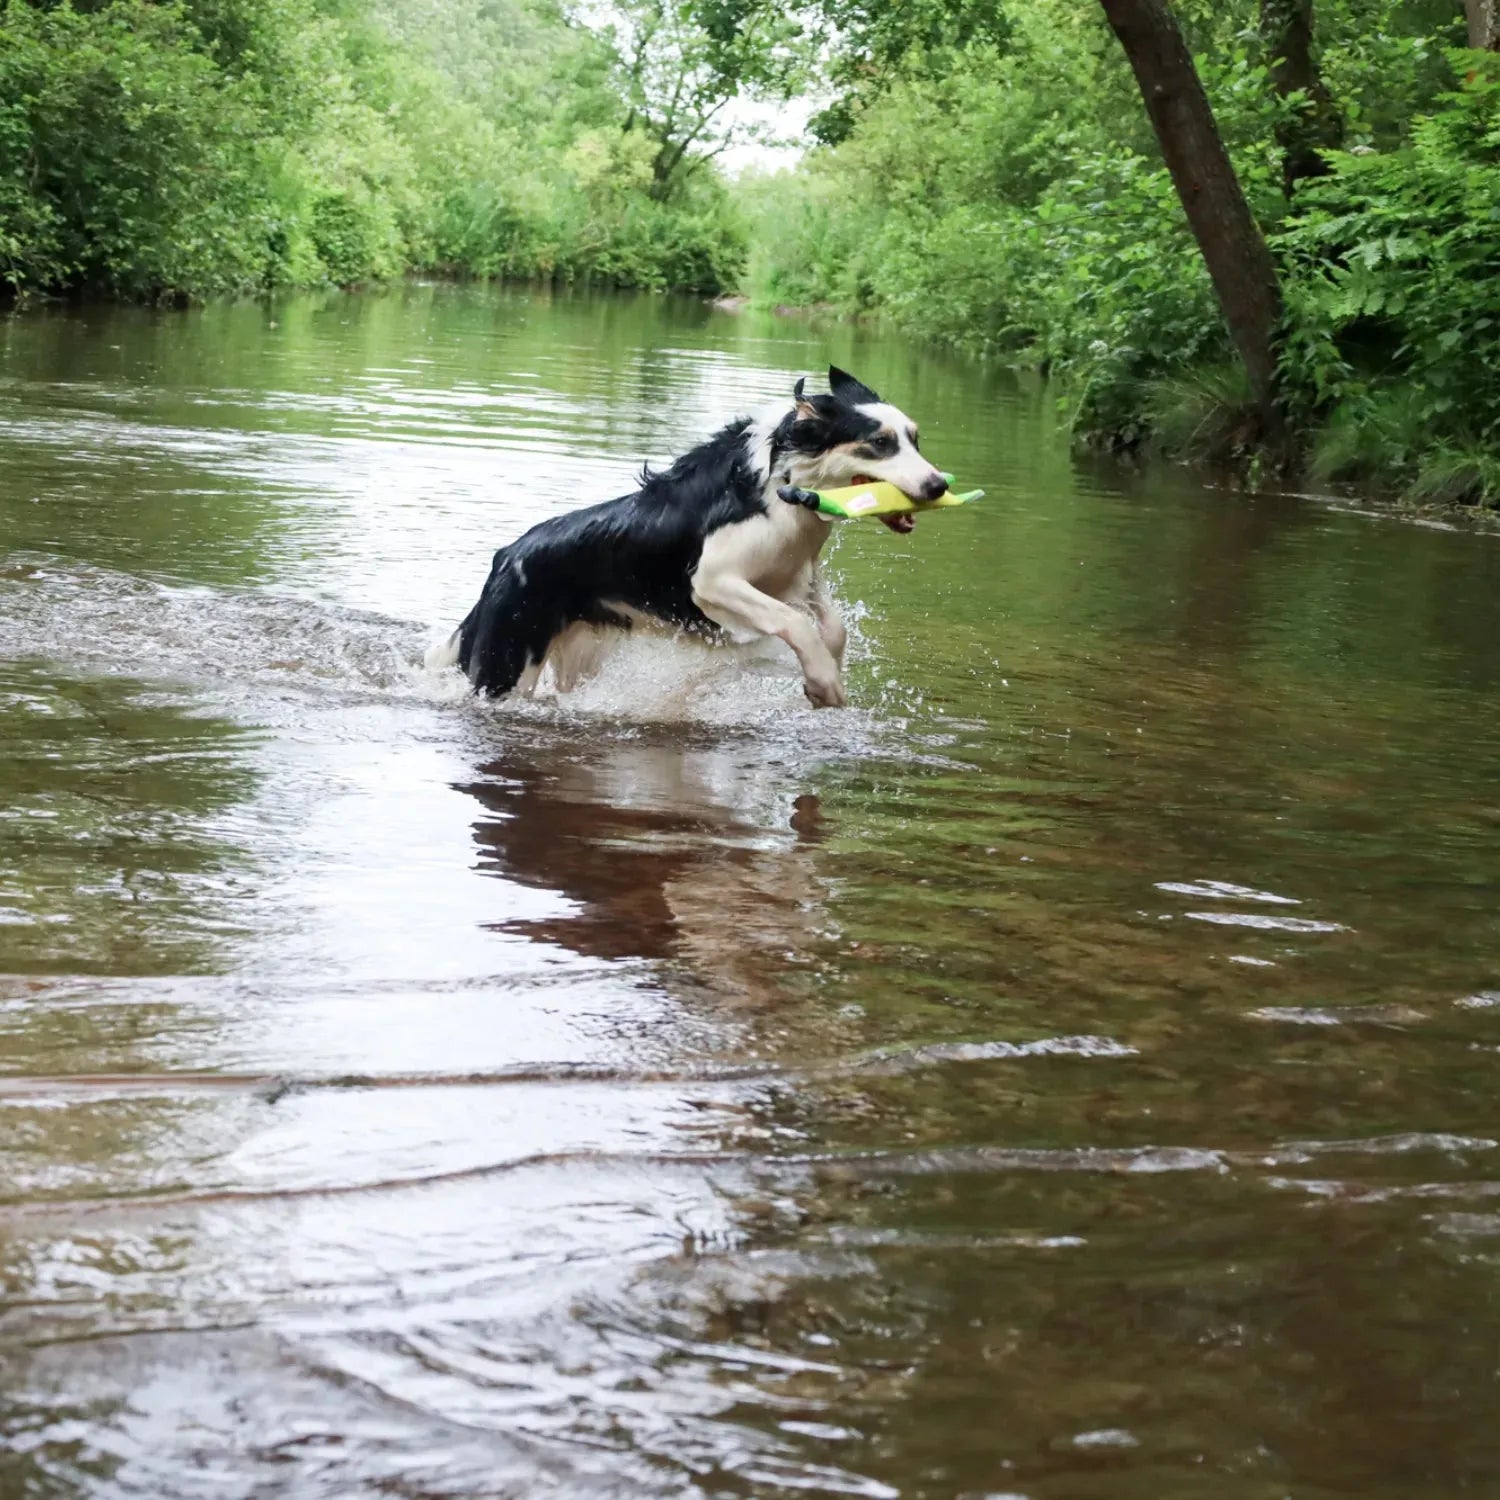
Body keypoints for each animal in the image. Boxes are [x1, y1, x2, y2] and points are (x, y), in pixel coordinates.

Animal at [423, 367, 942, 708]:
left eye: (916, 439)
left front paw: (820, 679)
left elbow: (832, 627)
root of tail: (504, 557)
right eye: (880, 443)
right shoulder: (713, 581)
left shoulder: (796, 573)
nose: (939, 485)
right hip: (507, 665)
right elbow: (794, 623)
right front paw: (825, 683)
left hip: (579, 656)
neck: (784, 486)